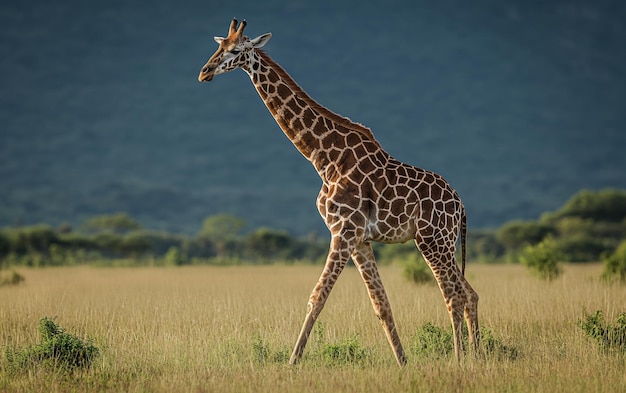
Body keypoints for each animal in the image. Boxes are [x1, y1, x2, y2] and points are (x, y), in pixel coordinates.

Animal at [197, 19, 480, 364]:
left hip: (432, 240)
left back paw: (460, 359)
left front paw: (292, 361)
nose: (205, 72)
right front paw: (402, 361)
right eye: (219, 46)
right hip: (444, 242)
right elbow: (381, 304)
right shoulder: (359, 239)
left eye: (237, 50)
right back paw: (477, 356)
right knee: (469, 292)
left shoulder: (342, 231)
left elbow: (317, 296)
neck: (323, 158)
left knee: (453, 294)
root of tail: (461, 204)